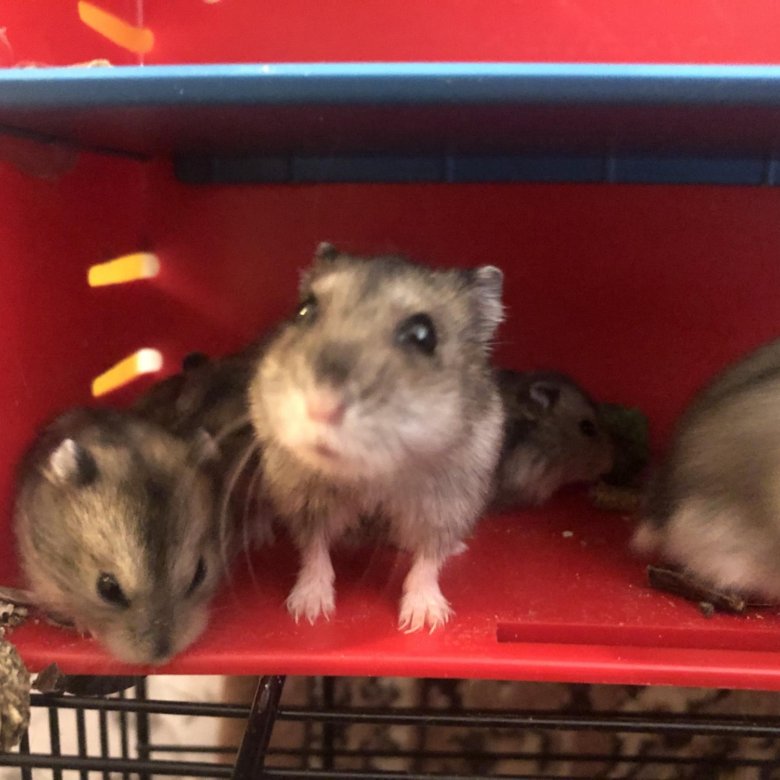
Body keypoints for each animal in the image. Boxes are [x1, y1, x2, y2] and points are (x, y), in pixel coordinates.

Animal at [248, 243, 505, 632]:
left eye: (423, 336)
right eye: (305, 310)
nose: (320, 408)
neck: (373, 474)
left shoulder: (446, 503)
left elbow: (427, 560)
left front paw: (423, 622)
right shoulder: (303, 496)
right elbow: (314, 549)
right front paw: (309, 613)